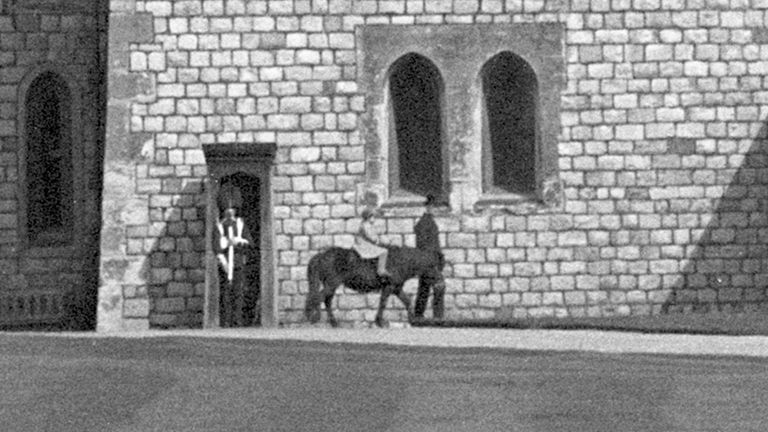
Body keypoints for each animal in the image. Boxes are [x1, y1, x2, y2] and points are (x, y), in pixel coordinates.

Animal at [304, 246, 444, 328]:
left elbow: (407, 301)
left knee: (325, 300)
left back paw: (333, 322)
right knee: (318, 298)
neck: (402, 261)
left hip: (331, 285)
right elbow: (383, 303)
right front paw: (380, 322)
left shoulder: (396, 288)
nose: (441, 284)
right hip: (331, 284)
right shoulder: (389, 287)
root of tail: (321, 256)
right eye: (434, 267)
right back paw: (312, 317)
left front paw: (412, 319)